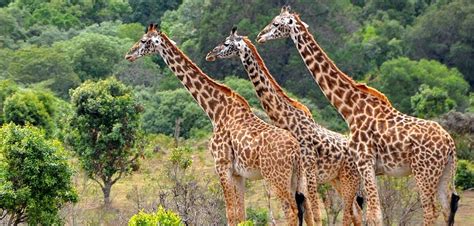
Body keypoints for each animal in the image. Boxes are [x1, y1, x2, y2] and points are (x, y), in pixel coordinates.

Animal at [125, 23, 312, 226]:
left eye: (144, 41)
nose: (128, 55)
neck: (215, 111)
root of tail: (296, 151)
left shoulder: (222, 165)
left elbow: (230, 213)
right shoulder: (238, 174)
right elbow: (241, 214)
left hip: (277, 177)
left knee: (291, 212)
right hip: (298, 178)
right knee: (307, 210)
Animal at [206, 27, 362, 226]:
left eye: (226, 43)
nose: (210, 54)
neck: (286, 119)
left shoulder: (307, 174)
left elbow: (313, 215)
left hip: (345, 178)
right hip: (337, 179)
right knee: (356, 211)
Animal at [258, 5, 462, 226]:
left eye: (276, 23)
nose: (259, 36)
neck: (350, 109)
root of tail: (450, 144)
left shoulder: (364, 162)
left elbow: (373, 215)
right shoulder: (367, 167)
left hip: (424, 172)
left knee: (430, 210)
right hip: (444, 173)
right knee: (446, 209)